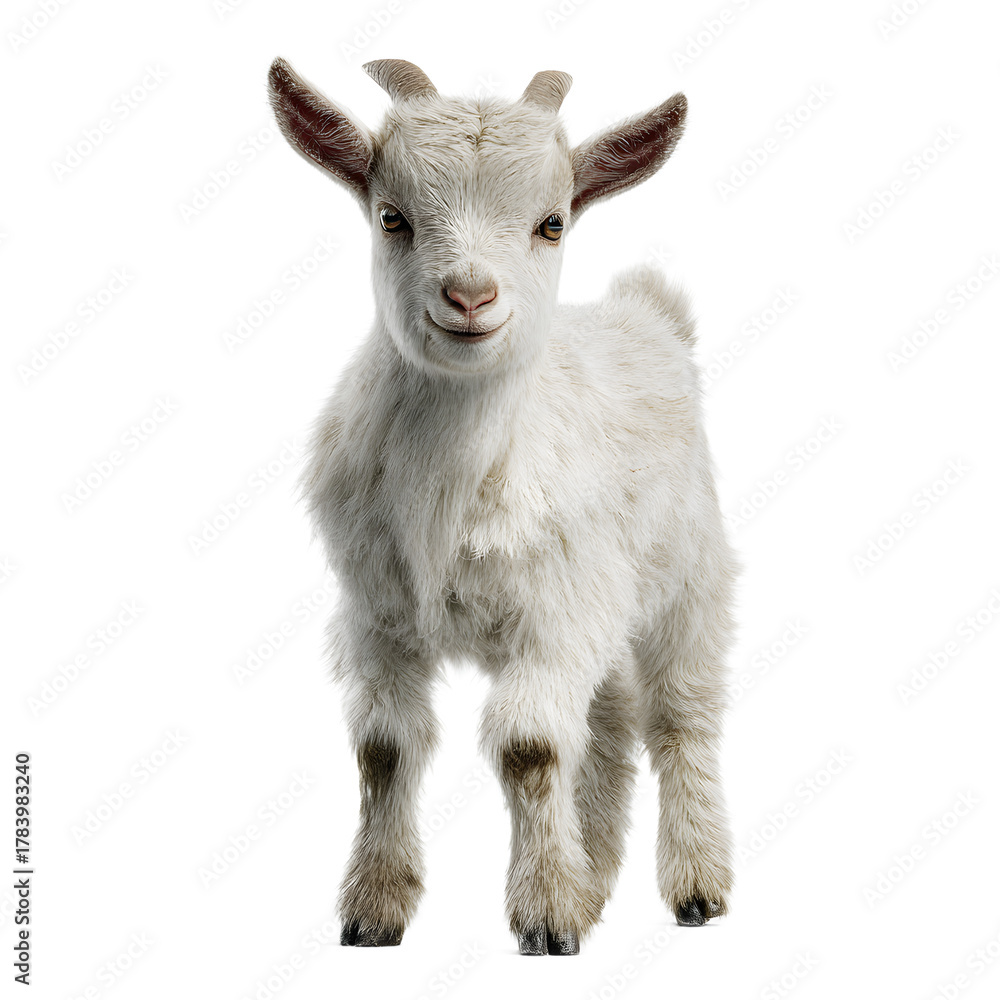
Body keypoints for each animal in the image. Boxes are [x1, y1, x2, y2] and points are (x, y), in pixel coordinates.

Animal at [267, 56, 737, 956]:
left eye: (551, 224)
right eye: (392, 217)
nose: (470, 296)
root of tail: (649, 312)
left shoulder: (555, 612)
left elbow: (528, 748)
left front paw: (547, 914)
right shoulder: (377, 613)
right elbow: (385, 748)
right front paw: (374, 909)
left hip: (686, 576)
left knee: (680, 716)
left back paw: (696, 885)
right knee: (611, 726)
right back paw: (596, 879)